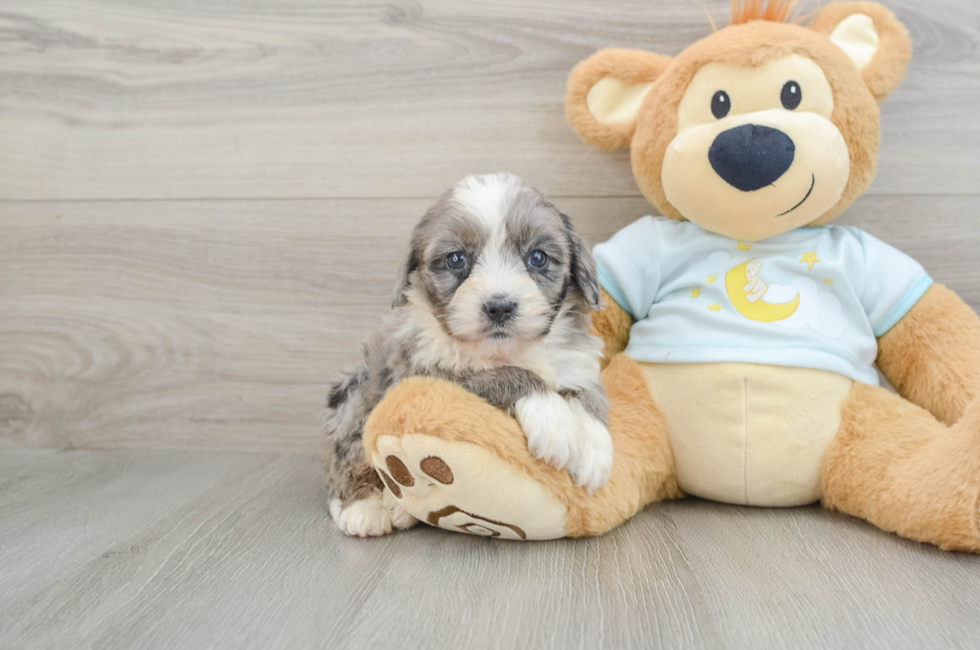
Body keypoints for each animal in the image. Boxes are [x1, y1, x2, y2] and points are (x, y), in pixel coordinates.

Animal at [326, 172, 608, 536]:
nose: (500, 307)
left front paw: (595, 447)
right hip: (356, 398)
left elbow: (591, 392)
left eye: (538, 257)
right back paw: (366, 508)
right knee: (347, 455)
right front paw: (553, 419)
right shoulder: (426, 374)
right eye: (456, 259)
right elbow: (506, 375)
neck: (507, 351)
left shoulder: (577, 359)